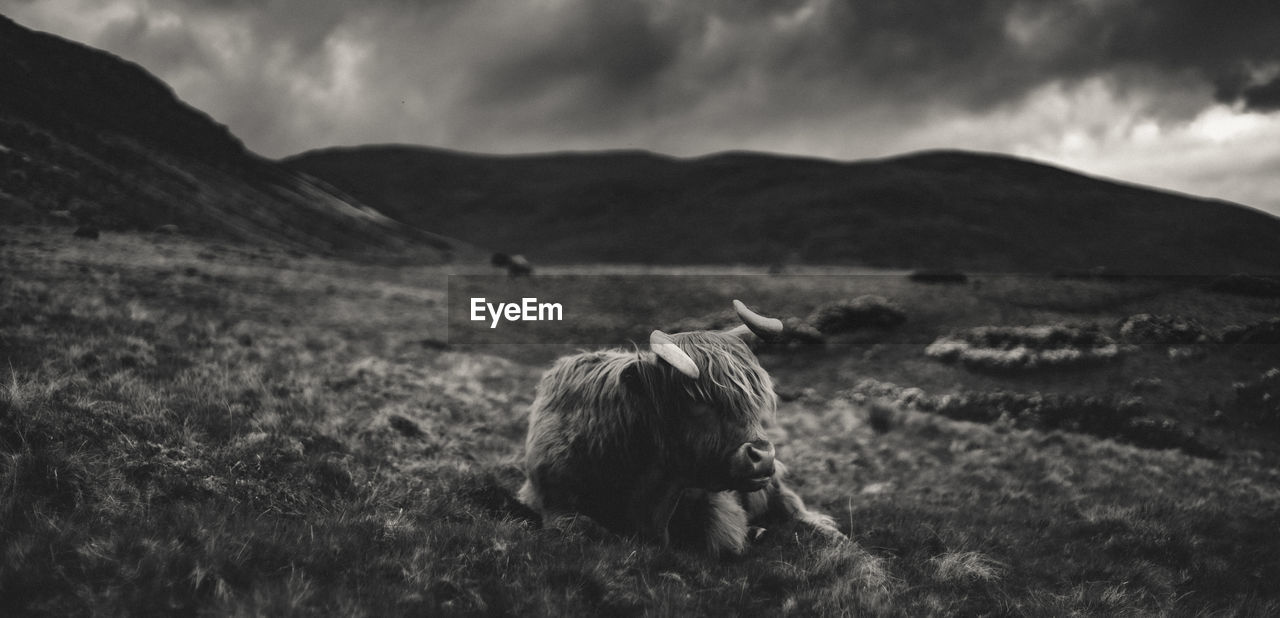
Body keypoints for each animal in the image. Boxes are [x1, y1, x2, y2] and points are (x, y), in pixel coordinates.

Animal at [514, 299, 844, 555]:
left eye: (755, 397)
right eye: (697, 400)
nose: (762, 456)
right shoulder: (550, 499)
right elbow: (584, 527)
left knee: (791, 504)